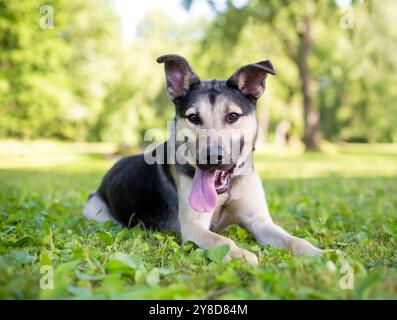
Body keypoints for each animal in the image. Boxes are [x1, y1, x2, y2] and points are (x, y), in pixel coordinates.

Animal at [84, 54, 332, 264]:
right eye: (193, 117)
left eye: (232, 116)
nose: (212, 157)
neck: (226, 189)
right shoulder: (193, 226)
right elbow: (221, 239)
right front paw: (240, 255)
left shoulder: (259, 220)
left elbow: (293, 239)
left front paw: (321, 253)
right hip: (95, 212)